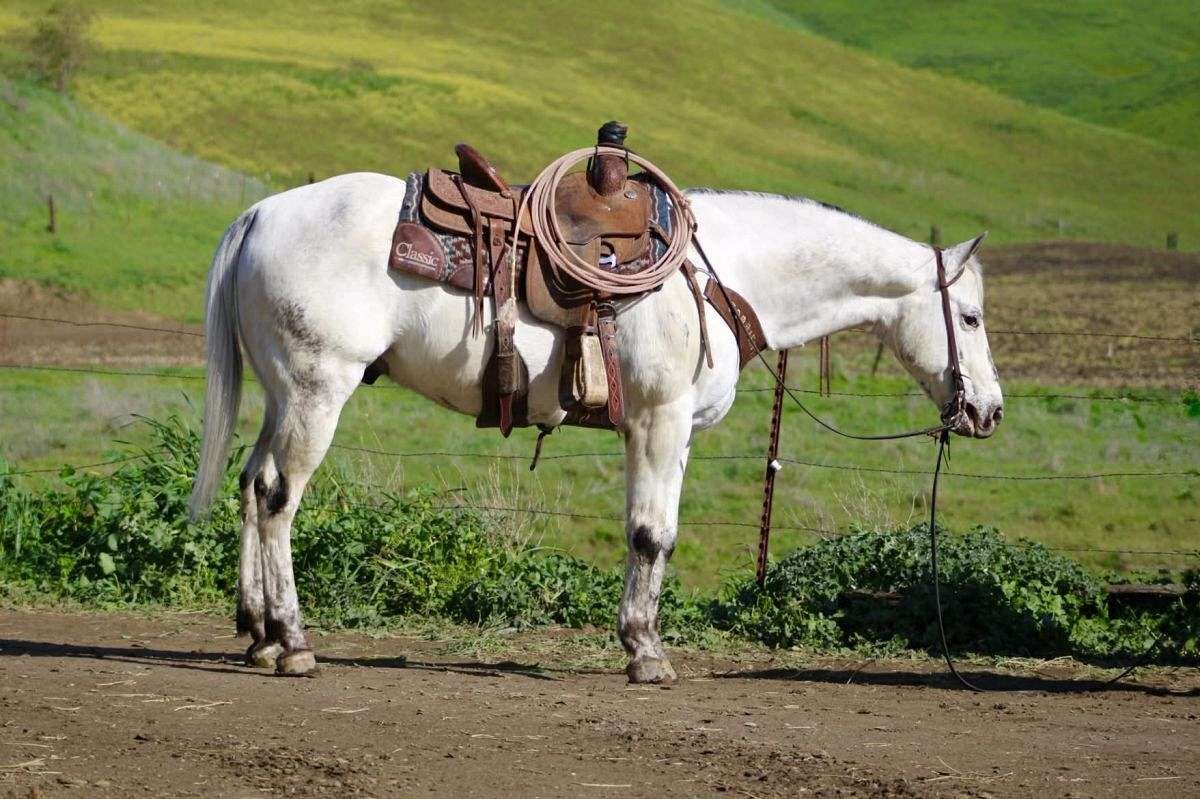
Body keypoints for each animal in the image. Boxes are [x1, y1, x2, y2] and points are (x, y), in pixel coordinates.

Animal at [187, 172, 1003, 682]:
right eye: (969, 317)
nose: (988, 410)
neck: (717, 275)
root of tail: (263, 213)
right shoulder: (657, 421)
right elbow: (649, 534)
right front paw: (645, 652)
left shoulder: (676, 434)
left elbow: (661, 533)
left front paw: (644, 641)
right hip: (317, 391)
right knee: (278, 497)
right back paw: (293, 642)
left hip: (283, 395)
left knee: (251, 484)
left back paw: (258, 633)